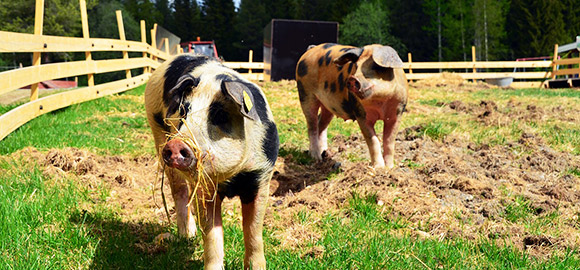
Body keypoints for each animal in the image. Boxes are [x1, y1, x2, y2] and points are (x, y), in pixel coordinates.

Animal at [145, 53, 280, 268]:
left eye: (220, 115)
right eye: (184, 112)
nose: (176, 143)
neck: (231, 178)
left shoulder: (261, 177)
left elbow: (253, 230)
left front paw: (256, 267)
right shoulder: (204, 188)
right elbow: (212, 234)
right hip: (157, 129)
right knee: (179, 190)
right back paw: (187, 236)